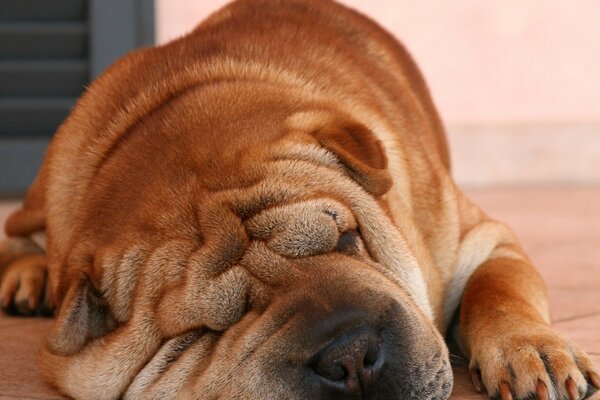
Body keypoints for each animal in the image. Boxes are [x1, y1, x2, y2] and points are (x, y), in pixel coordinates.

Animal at [1, 0, 600, 400]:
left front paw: (534, 354)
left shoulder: (478, 241)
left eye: (348, 238)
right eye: (204, 330)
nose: (349, 357)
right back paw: (28, 278)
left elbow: (498, 291)